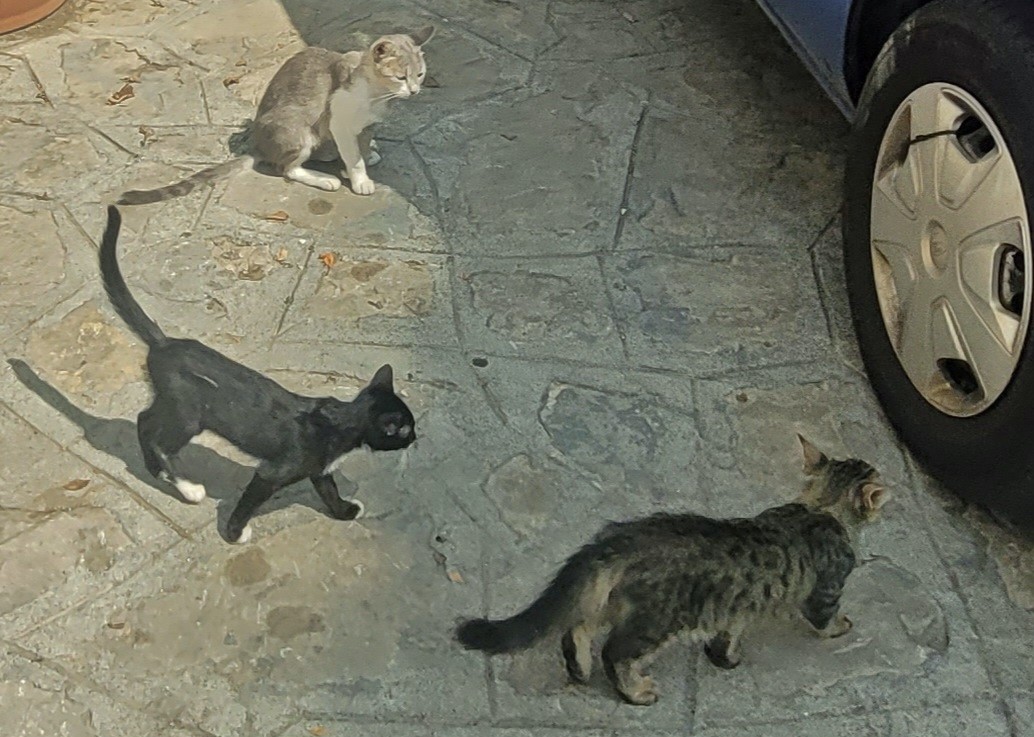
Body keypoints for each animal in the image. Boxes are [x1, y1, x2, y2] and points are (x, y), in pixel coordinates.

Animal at [97, 205, 415, 541]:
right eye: (406, 428)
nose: (415, 438)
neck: (343, 423)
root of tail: (165, 342)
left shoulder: (320, 470)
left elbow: (328, 491)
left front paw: (345, 511)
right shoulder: (275, 471)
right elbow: (251, 498)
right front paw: (235, 534)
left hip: (174, 406)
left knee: (143, 419)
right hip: (188, 415)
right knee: (153, 433)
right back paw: (186, 487)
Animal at [117, 24, 432, 202]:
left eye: (420, 75)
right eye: (401, 77)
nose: (415, 91)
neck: (376, 95)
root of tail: (258, 144)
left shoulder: (367, 125)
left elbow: (361, 147)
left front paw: (361, 160)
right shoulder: (339, 122)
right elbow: (354, 156)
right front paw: (359, 179)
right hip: (297, 128)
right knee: (287, 169)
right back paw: (324, 179)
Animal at [459, 434, 889, 702]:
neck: (821, 507)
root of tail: (624, 537)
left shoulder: (737, 606)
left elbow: (728, 635)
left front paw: (725, 659)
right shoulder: (825, 591)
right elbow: (825, 619)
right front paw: (841, 627)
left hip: (611, 600)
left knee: (577, 627)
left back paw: (579, 669)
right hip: (657, 620)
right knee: (613, 652)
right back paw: (634, 692)